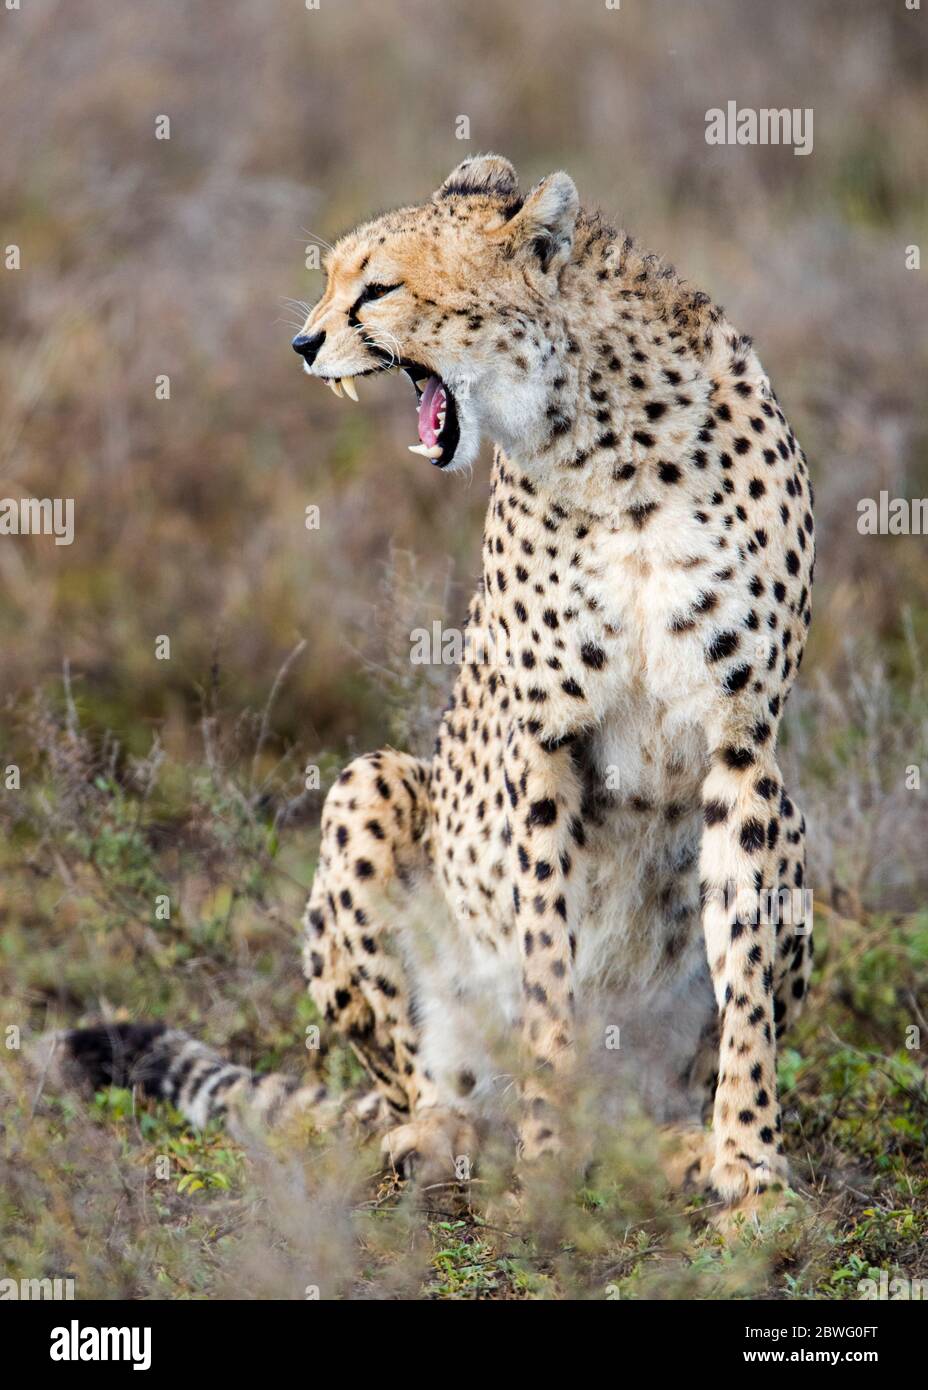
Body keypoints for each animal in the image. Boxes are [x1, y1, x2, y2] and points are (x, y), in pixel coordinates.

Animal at [37, 154, 814, 1225]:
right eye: (331, 278)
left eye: (379, 287)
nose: (303, 343)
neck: (613, 444)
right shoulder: (545, 748)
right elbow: (546, 974)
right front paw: (543, 1168)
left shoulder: (744, 741)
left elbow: (743, 974)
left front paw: (748, 1167)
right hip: (366, 787)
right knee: (417, 1079)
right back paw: (451, 1139)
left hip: (796, 834)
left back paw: (664, 1147)